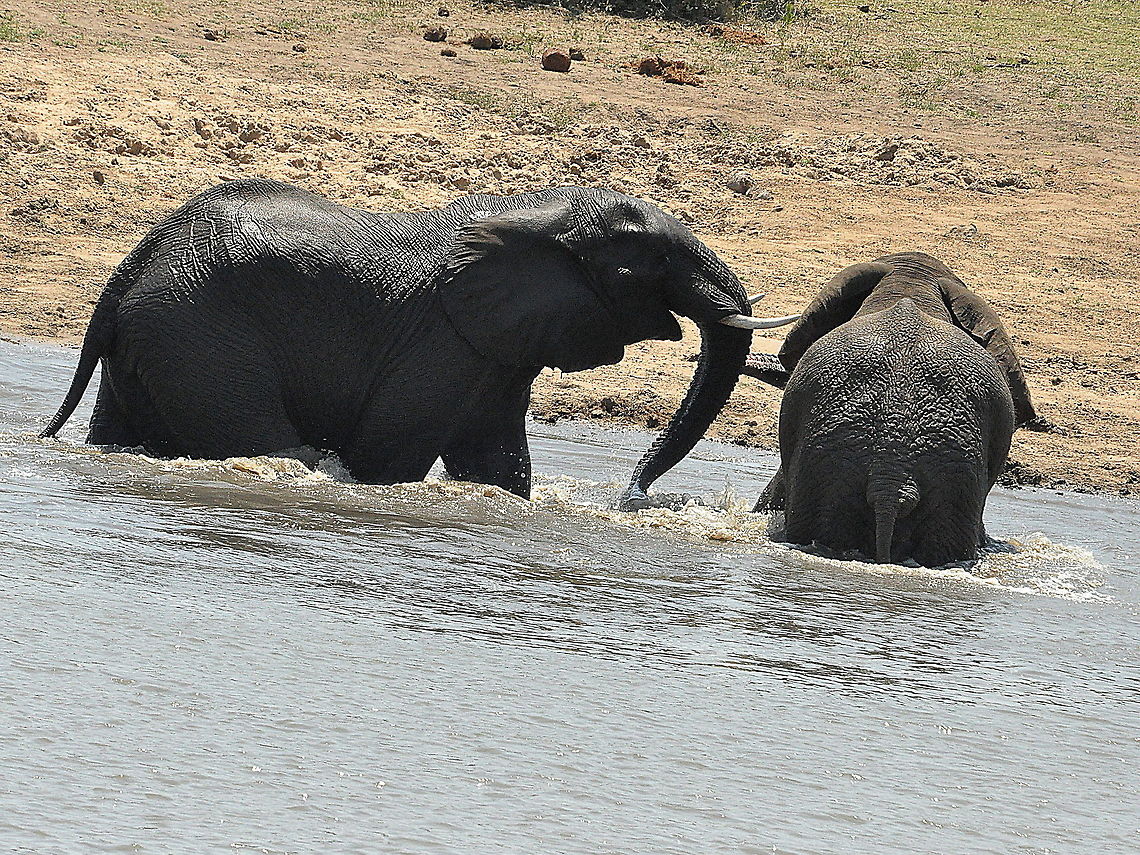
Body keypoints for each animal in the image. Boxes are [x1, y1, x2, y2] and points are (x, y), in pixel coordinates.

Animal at [41, 178, 797, 504]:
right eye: (654, 259)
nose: (631, 498)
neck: (531, 210)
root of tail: (135, 258)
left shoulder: (493, 346)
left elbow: (496, 465)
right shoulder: (442, 342)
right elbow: (389, 457)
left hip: (156, 337)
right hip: (197, 331)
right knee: (273, 443)